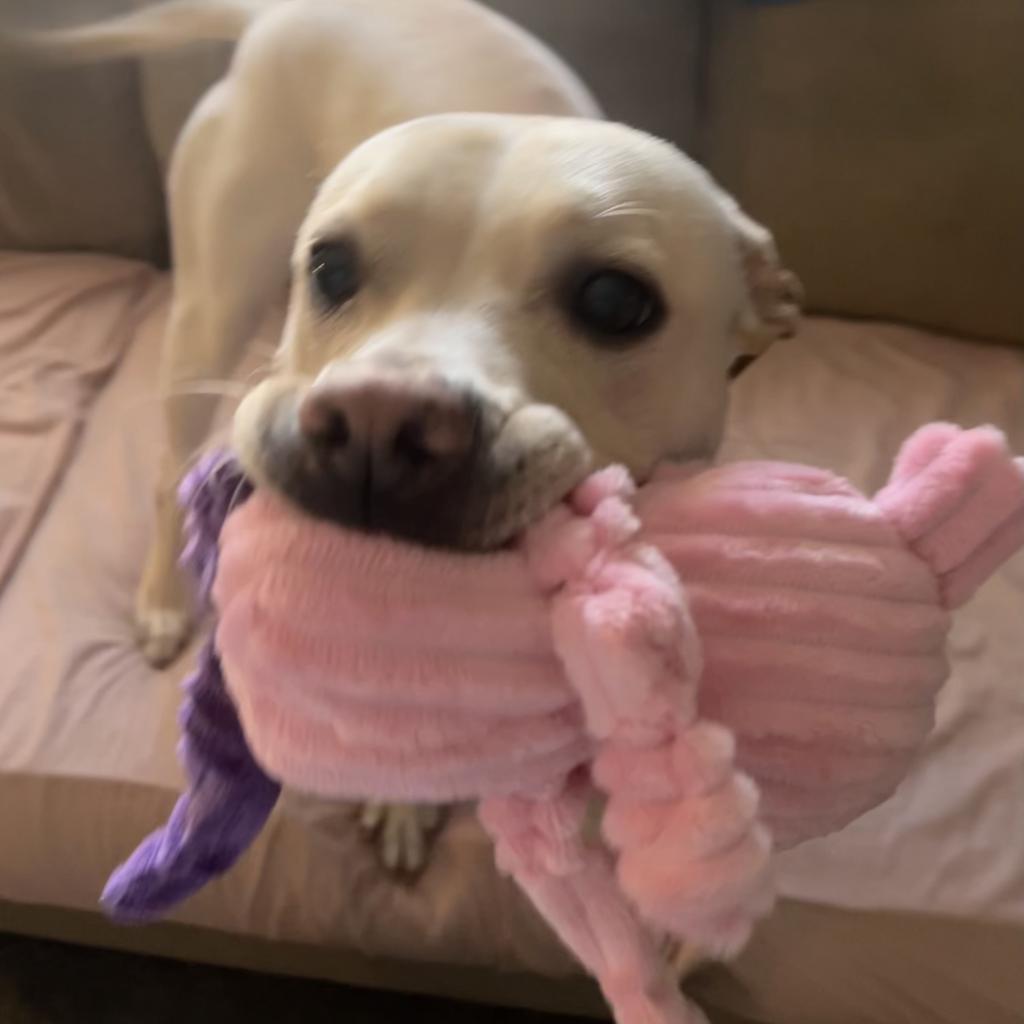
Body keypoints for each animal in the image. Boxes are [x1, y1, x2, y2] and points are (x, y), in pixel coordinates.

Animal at [12, 0, 802, 880]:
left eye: (614, 300)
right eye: (329, 268)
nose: (376, 422)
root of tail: (276, 15)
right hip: (209, 315)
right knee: (167, 469)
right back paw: (158, 599)